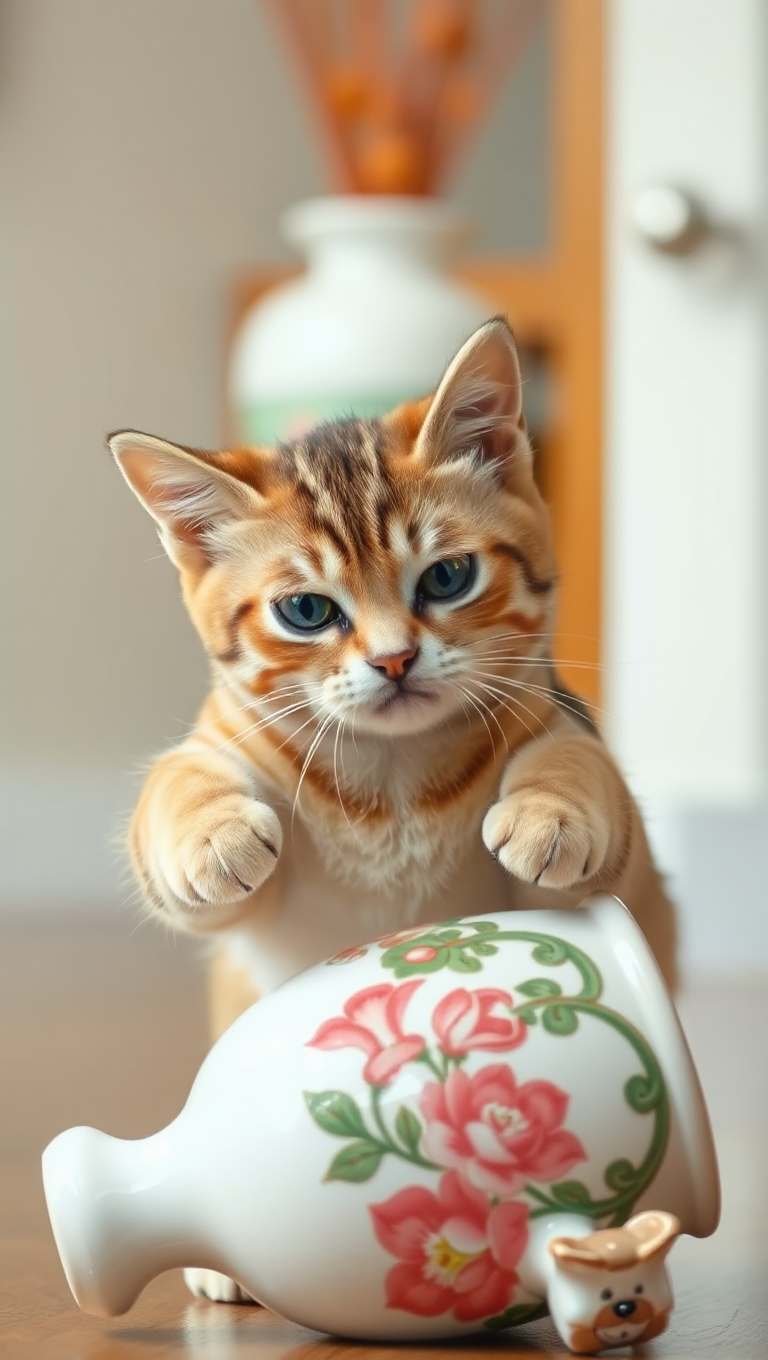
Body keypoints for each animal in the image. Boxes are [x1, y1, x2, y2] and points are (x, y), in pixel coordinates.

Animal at [110, 312, 674, 1300]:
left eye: (446, 579)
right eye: (306, 611)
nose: (394, 659)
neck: (394, 782)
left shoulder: (586, 772)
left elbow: (574, 762)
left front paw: (553, 813)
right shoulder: (225, 760)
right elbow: (179, 781)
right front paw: (212, 833)